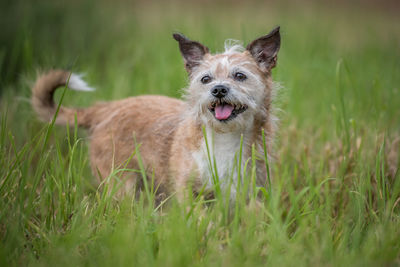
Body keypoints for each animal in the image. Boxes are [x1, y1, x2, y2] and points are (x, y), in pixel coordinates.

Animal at [32, 26, 282, 201]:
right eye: (206, 79)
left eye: (240, 76)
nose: (218, 89)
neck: (224, 136)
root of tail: (106, 108)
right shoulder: (187, 190)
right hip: (121, 184)